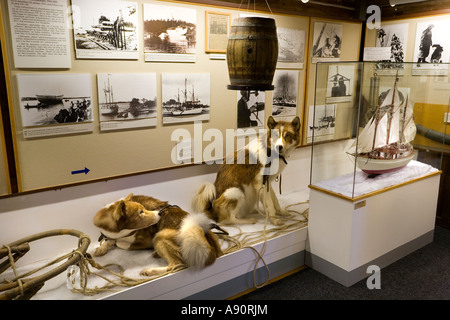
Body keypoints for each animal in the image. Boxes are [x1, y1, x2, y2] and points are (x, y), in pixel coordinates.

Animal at [93, 194, 223, 276]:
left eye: (143, 210)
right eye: (140, 212)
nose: (160, 213)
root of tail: (213, 252)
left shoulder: (146, 241)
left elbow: (120, 243)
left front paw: (115, 242)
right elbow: (110, 240)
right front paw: (101, 248)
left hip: (161, 235)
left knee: (176, 265)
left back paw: (150, 270)